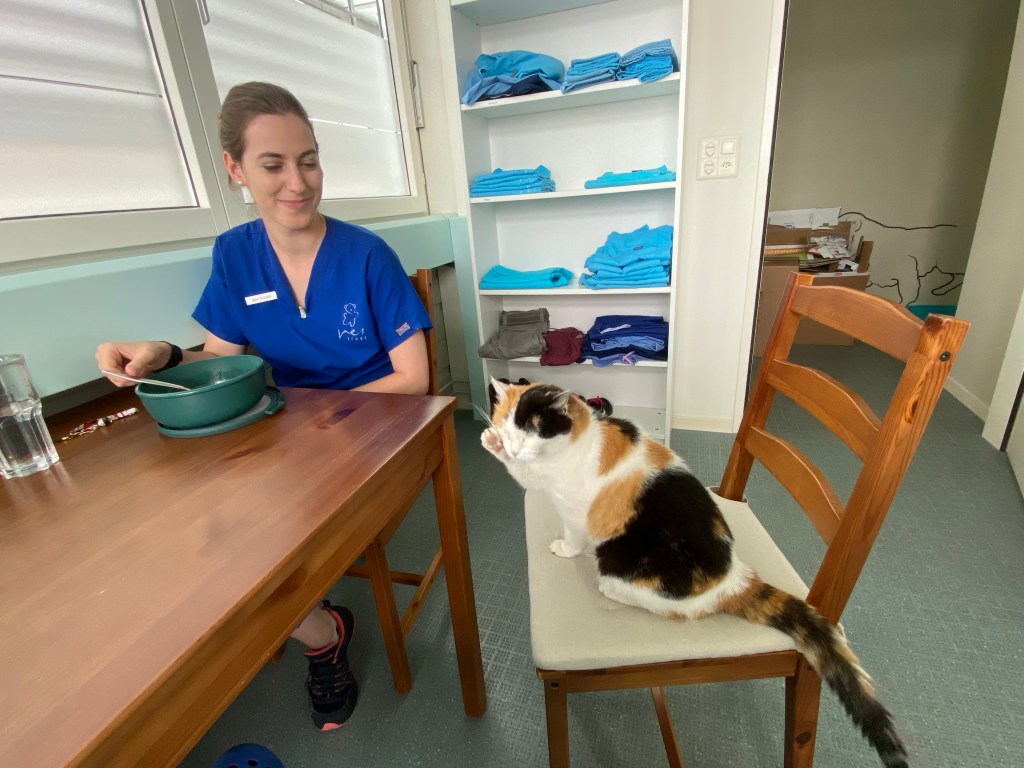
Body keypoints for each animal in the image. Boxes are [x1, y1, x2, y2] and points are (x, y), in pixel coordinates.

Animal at [481, 378, 908, 768]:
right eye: (509, 429)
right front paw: (492, 440)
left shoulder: (569, 505)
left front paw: (562, 545)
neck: (581, 439)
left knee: (670, 607)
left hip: (630, 568)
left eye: (531, 430)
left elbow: (556, 515)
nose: (511, 444)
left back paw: (612, 589)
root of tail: (733, 578)